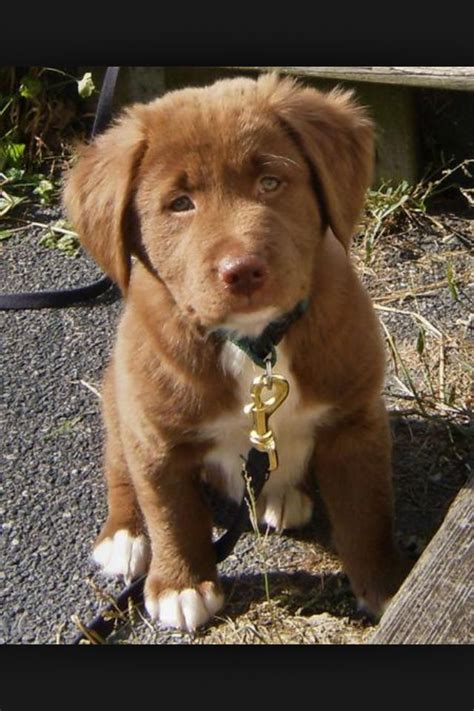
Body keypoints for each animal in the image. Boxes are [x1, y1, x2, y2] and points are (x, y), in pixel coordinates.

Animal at [65, 76, 410, 636]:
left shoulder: (355, 420)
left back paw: (280, 496)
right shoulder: (156, 438)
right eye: (180, 203)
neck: (256, 347)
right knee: (120, 470)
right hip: (119, 402)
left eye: (270, 182)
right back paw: (125, 536)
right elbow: (171, 512)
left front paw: (386, 585)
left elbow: (366, 511)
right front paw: (180, 585)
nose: (242, 270)